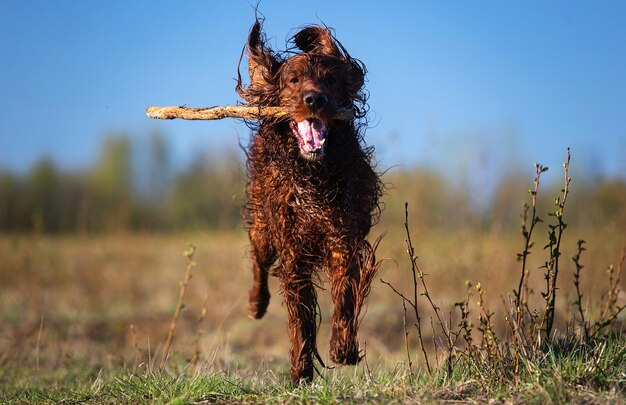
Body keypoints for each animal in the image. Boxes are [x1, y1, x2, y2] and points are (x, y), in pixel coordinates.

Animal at [234, 19, 380, 384]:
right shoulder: (292, 249)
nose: (315, 99)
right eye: (294, 80)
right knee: (258, 262)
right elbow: (299, 315)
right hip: (262, 226)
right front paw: (301, 369)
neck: (312, 173)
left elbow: (345, 293)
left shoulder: (342, 238)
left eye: (330, 79)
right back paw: (255, 304)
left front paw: (343, 346)